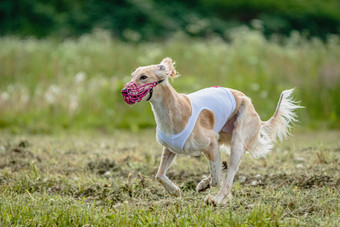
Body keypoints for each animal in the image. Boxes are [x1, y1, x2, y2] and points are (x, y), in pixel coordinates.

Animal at [121, 57, 302, 206]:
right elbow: (159, 175)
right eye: (132, 76)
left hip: (238, 140)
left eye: (143, 77)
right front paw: (175, 190)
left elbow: (217, 179)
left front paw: (206, 186)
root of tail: (248, 102)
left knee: (228, 177)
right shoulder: (170, 148)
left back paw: (216, 199)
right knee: (224, 168)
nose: (124, 91)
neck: (174, 112)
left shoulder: (211, 143)